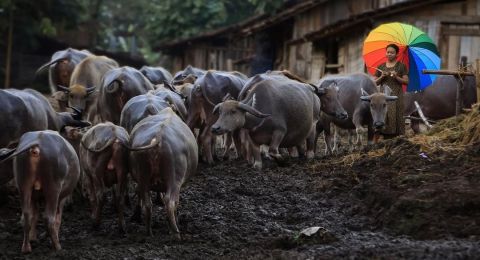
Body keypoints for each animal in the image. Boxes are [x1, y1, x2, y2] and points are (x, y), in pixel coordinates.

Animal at [127, 108, 197, 238]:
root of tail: (159, 136)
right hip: (174, 179)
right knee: (170, 202)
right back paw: (176, 233)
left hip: (143, 177)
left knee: (147, 203)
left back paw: (149, 232)